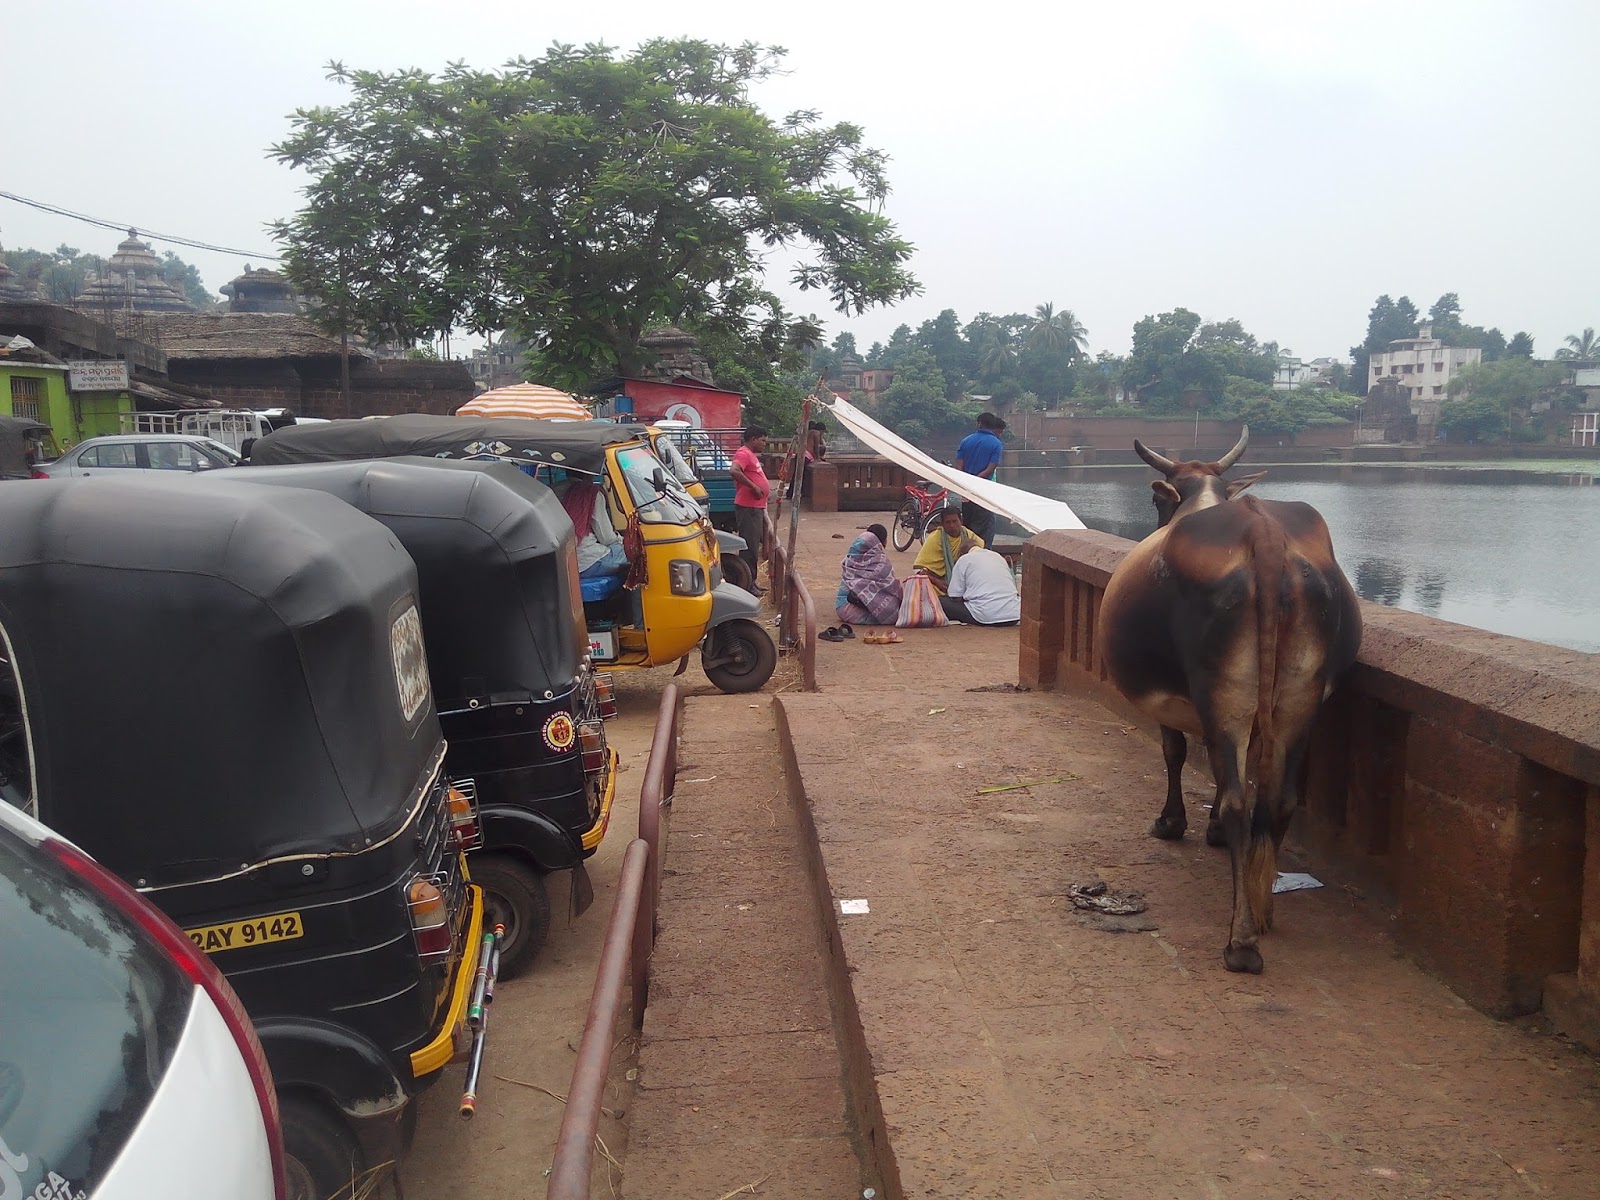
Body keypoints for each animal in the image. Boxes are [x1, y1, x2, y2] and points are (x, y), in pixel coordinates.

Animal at [1096, 426, 1362, 973]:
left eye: (1157, 504)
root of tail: (1264, 534)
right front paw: (1212, 828)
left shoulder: (1176, 702)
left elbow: (1176, 752)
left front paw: (1173, 822)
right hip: (1299, 699)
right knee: (1277, 799)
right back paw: (1262, 910)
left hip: (1223, 692)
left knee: (1242, 799)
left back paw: (1240, 940)